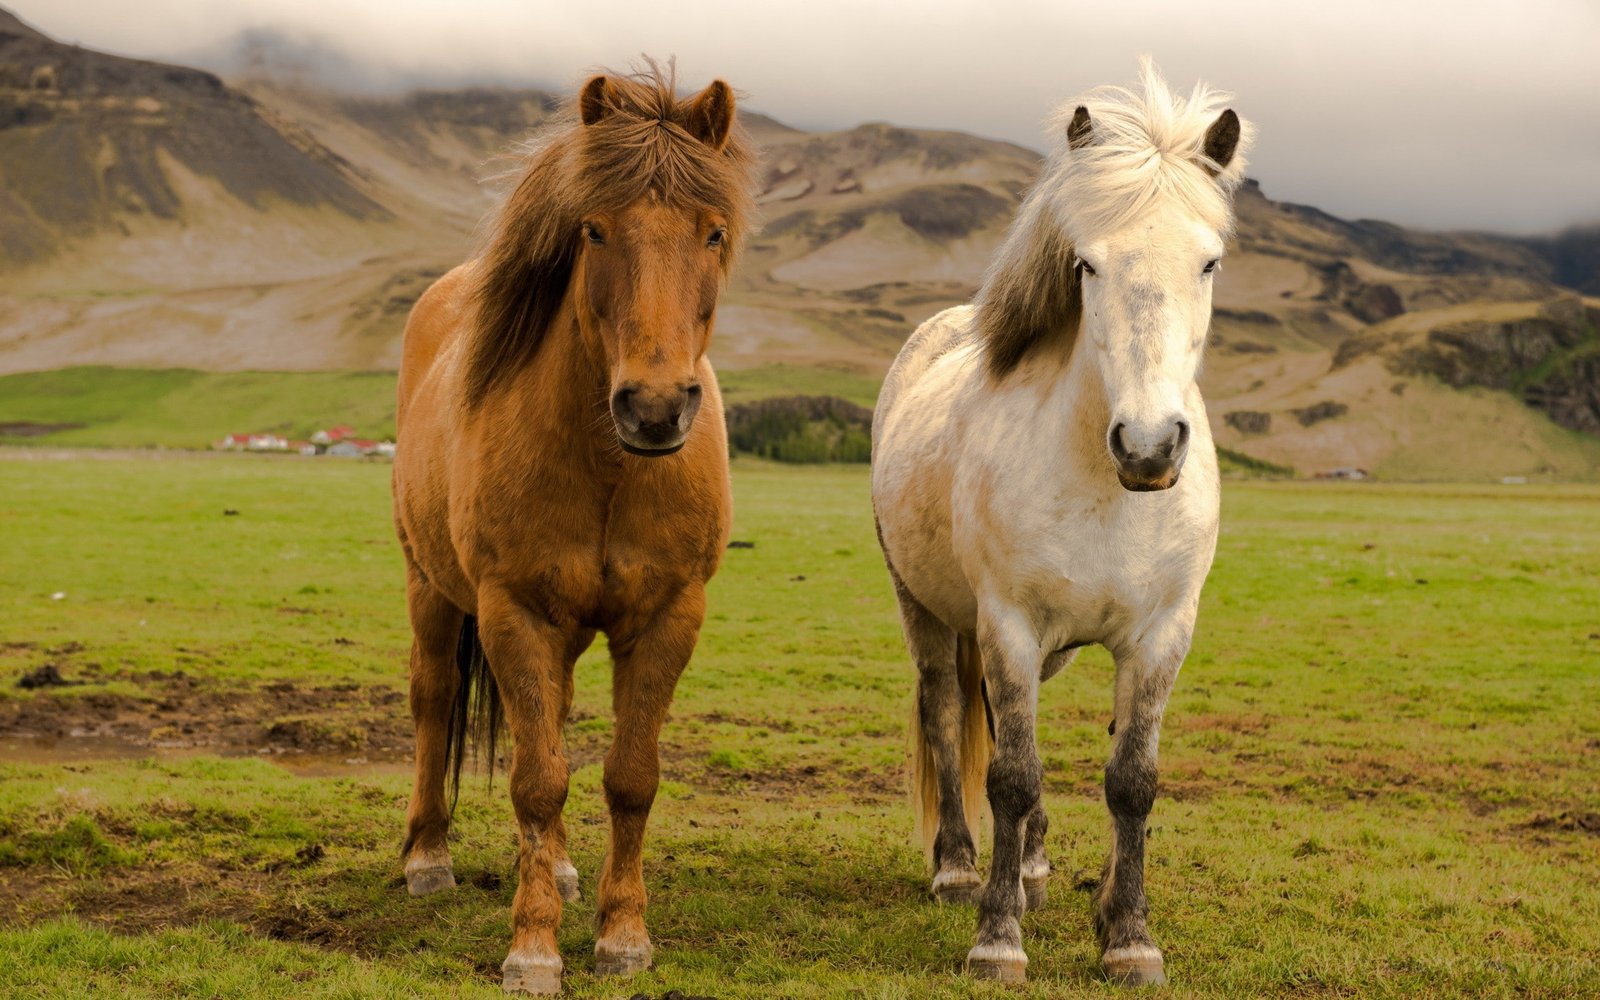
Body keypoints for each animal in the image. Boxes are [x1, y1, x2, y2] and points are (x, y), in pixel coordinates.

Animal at [390, 66, 756, 995]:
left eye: (713, 232)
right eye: (593, 229)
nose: (654, 407)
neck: (609, 470)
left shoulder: (667, 616)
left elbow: (628, 777)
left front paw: (623, 936)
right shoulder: (512, 609)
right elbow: (535, 780)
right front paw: (534, 949)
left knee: (549, 714)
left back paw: (552, 867)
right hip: (431, 587)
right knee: (435, 699)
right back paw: (428, 857)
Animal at [871, 61, 1252, 987]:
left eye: (1209, 262)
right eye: (1085, 265)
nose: (1148, 445)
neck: (1110, 493)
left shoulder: (1161, 635)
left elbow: (1132, 778)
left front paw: (1128, 934)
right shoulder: (1007, 625)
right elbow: (1011, 774)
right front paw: (997, 936)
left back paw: (1037, 868)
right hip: (925, 608)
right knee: (945, 713)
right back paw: (959, 867)